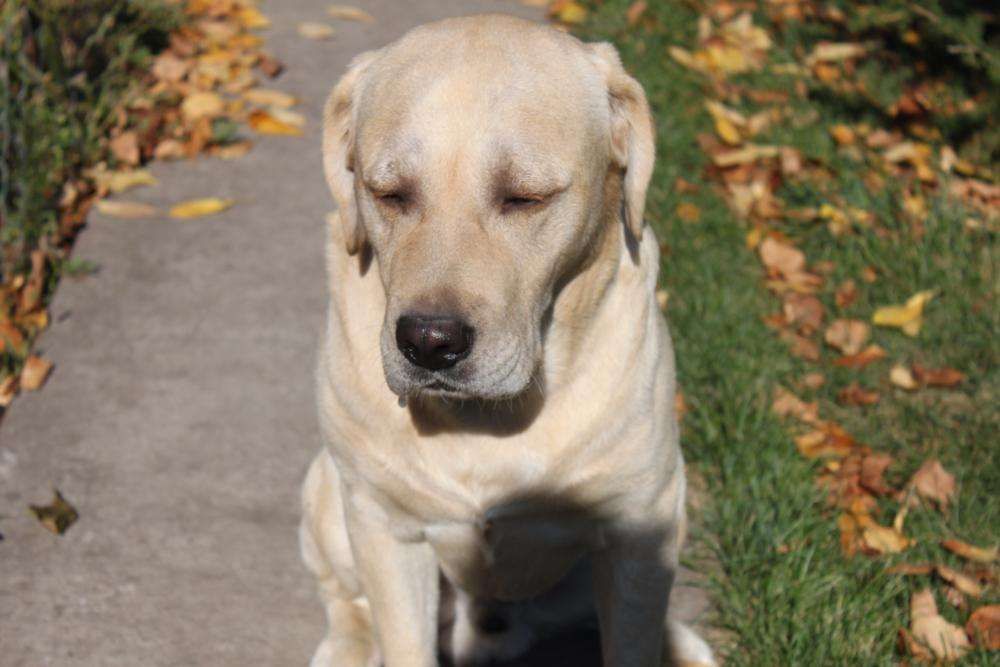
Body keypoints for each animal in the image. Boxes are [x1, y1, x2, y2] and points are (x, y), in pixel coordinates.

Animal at [300, 11, 716, 667]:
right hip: (328, 494)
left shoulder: (640, 528)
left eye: (525, 197)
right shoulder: (385, 525)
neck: (486, 424)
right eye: (388, 193)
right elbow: (400, 637)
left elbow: (633, 640)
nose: (429, 341)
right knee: (346, 600)